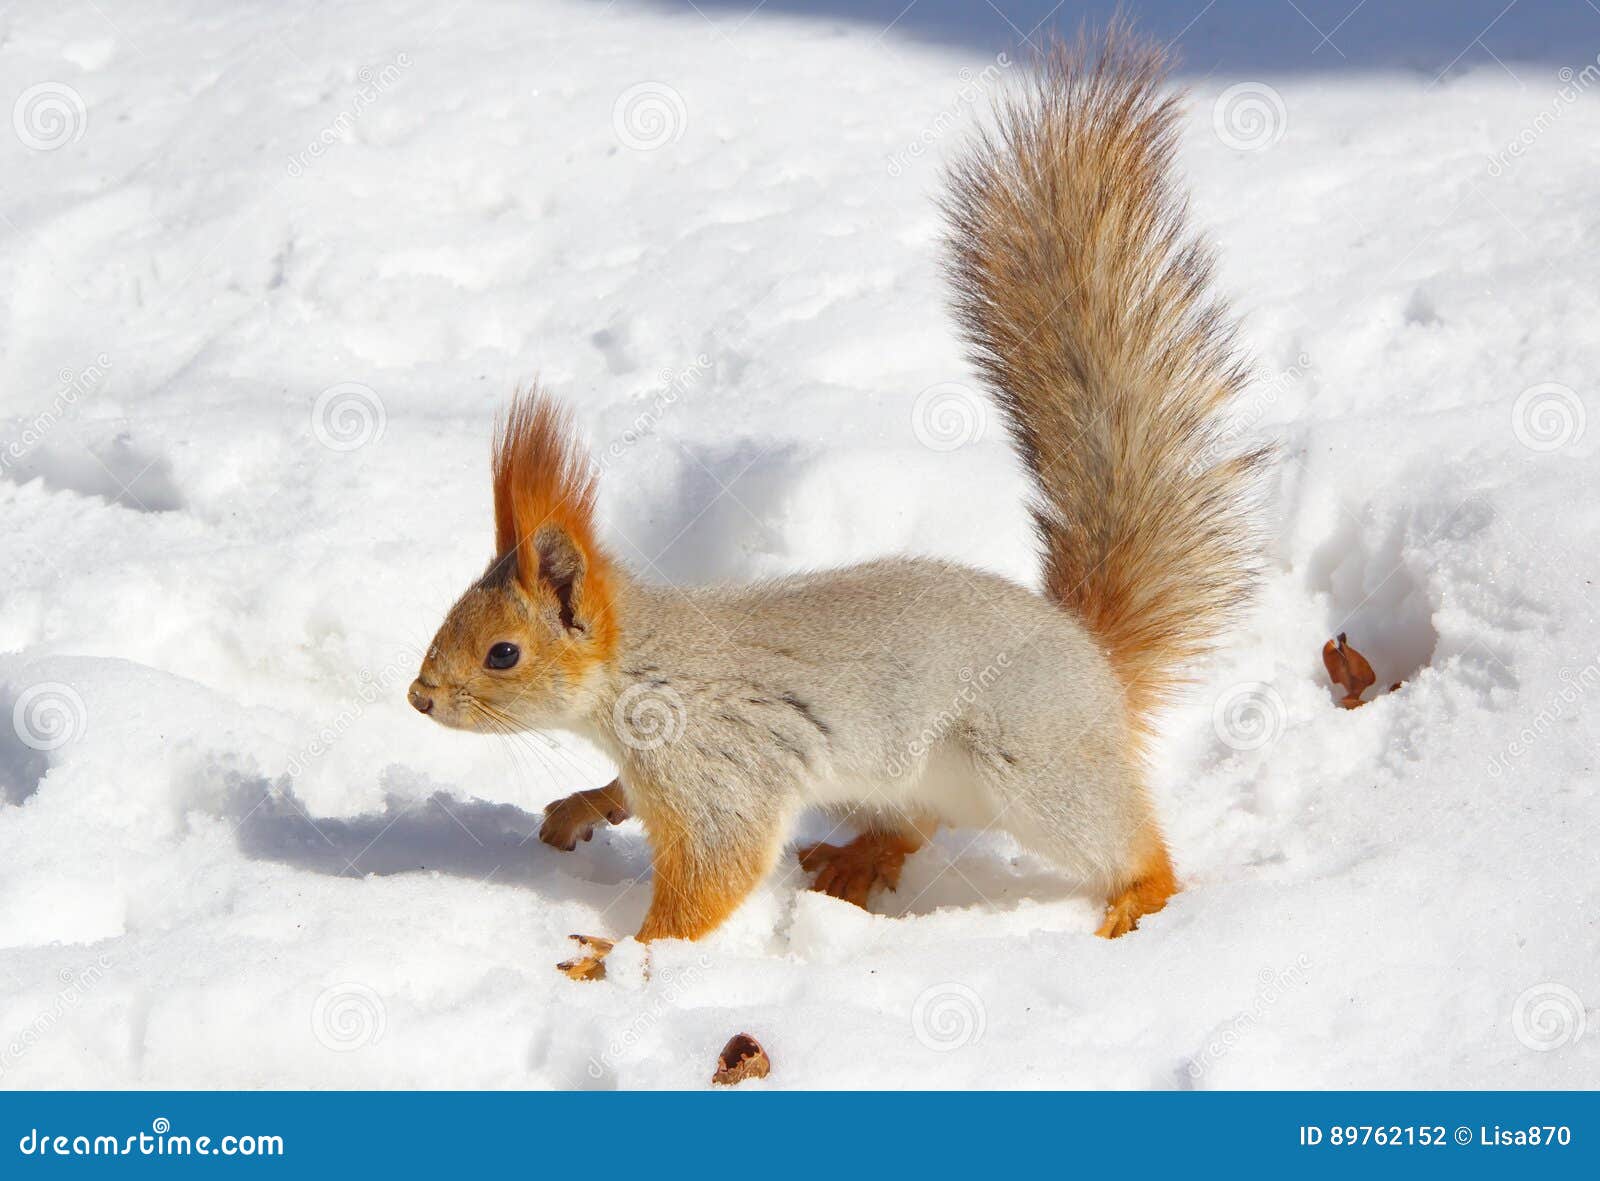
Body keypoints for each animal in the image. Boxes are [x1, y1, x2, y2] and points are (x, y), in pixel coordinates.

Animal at [409, 27, 1260, 979]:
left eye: (504, 654)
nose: (419, 697)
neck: (639, 668)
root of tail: (1095, 657)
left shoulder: (716, 761)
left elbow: (716, 870)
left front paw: (623, 954)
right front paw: (582, 807)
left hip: (1034, 766)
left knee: (1124, 843)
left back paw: (1136, 897)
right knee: (915, 824)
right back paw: (862, 857)